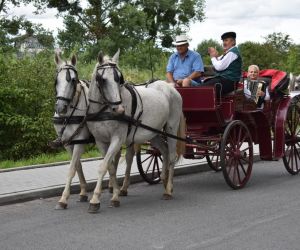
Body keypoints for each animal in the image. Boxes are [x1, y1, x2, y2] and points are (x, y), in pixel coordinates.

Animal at [85, 50, 186, 213]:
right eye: (102, 80)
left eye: (119, 79)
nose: (119, 110)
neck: (104, 110)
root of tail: (172, 88)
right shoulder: (100, 141)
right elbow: (110, 167)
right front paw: (115, 194)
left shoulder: (117, 139)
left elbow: (103, 167)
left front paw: (95, 200)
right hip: (153, 133)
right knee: (163, 151)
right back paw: (164, 180)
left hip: (171, 127)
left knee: (171, 155)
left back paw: (168, 189)